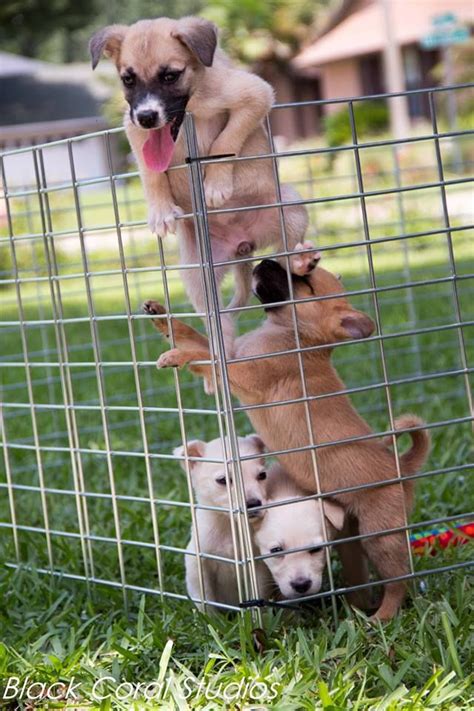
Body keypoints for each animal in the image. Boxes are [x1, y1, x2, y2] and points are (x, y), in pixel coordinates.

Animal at [90, 16, 312, 348]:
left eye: (170, 75)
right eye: (128, 79)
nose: (146, 116)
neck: (192, 107)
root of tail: (242, 246)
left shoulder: (254, 93)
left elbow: (226, 139)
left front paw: (215, 185)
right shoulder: (133, 129)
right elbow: (150, 173)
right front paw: (160, 211)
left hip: (290, 207)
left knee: (284, 259)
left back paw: (299, 262)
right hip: (197, 276)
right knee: (219, 324)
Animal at [174, 434, 272, 612]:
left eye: (262, 475)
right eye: (223, 480)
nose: (254, 504)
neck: (229, 526)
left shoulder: (259, 567)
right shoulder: (197, 565)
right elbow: (206, 602)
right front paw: (208, 619)